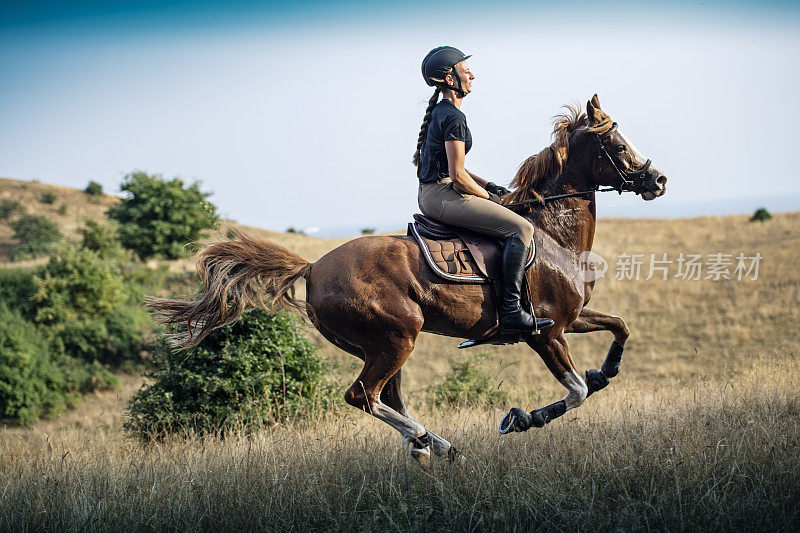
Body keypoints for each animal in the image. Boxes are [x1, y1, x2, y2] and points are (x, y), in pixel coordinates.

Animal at [145, 94, 668, 466]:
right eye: (618, 146)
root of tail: (313, 267)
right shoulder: (547, 332)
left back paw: (431, 445)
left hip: (379, 343)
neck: (551, 232)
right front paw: (522, 419)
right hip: (399, 335)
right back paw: (428, 442)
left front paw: (606, 371)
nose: (658, 180)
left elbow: (619, 328)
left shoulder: (572, 317)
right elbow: (576, 392)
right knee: (363, 395)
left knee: (385, 396)